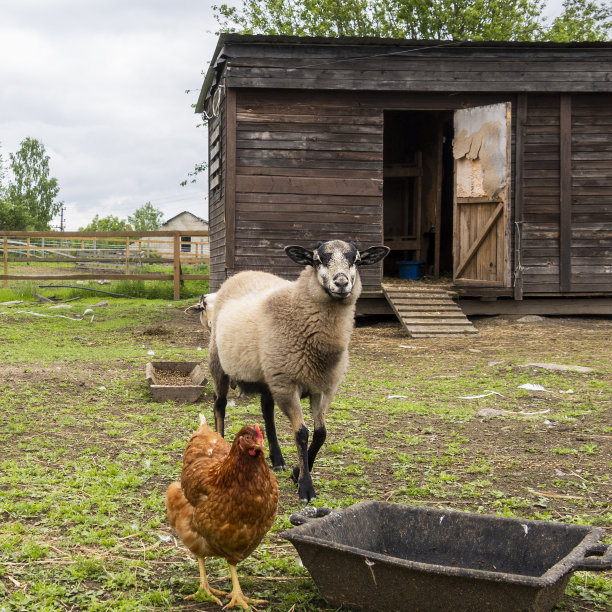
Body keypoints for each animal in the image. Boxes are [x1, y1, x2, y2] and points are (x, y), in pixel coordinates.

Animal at [208, 239, 390, 502]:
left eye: (356, 261)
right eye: (317, 260)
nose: (341, 282)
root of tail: (242, 273)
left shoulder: (323, 387)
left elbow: (321, 433)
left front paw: (297, 472)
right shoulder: (288, 384)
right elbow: (302, 434)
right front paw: (306, 487)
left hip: (270, 374)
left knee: (267, 410)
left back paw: (278, 459)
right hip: (218, 362)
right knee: (219, 405)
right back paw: (221, 444)